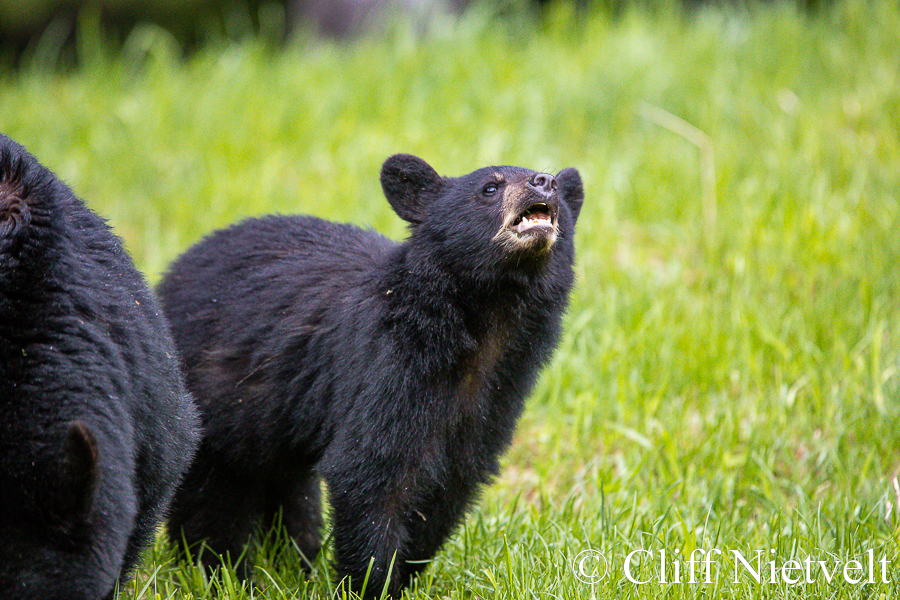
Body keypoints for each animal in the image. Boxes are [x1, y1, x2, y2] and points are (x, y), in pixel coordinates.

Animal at [158, 153, 584, 598]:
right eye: (490, 187)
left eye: (554, 188)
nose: (545, 182)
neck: (483, 328)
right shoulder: (384, 368)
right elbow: (370, 472)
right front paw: (372, 583)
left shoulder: (495, 398)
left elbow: (449, 486)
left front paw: (407, 572)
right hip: (208, 399)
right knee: (212, 496)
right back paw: (221, 571)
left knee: (287, 485)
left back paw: (292, 561)